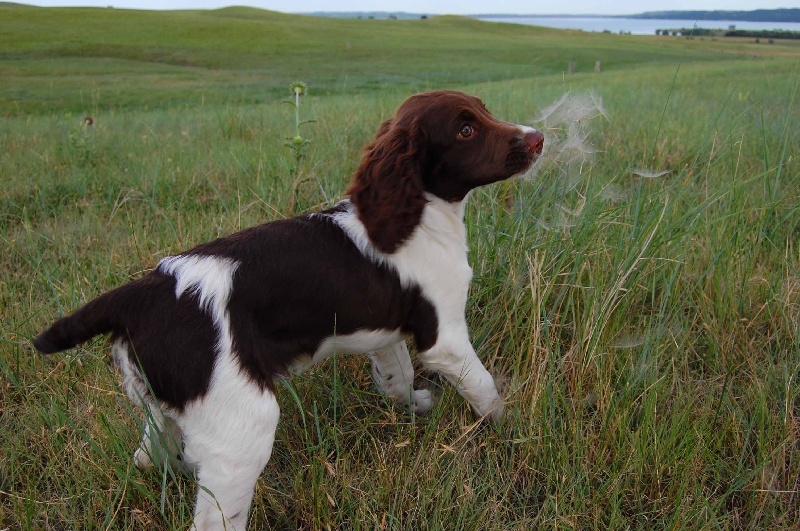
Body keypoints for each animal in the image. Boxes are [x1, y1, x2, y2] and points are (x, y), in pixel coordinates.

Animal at [32, 90, 544, 528]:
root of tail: (143, 291)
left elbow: (397, 376)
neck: (420, 213)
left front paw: (413, 405)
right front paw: (514, 425)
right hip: (241, 427)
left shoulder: (385, 333)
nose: (538, 137)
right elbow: (484, 387)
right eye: (465, 130)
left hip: (165, 405)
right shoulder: (445, 337)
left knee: (147, 454)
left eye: (484, 111)